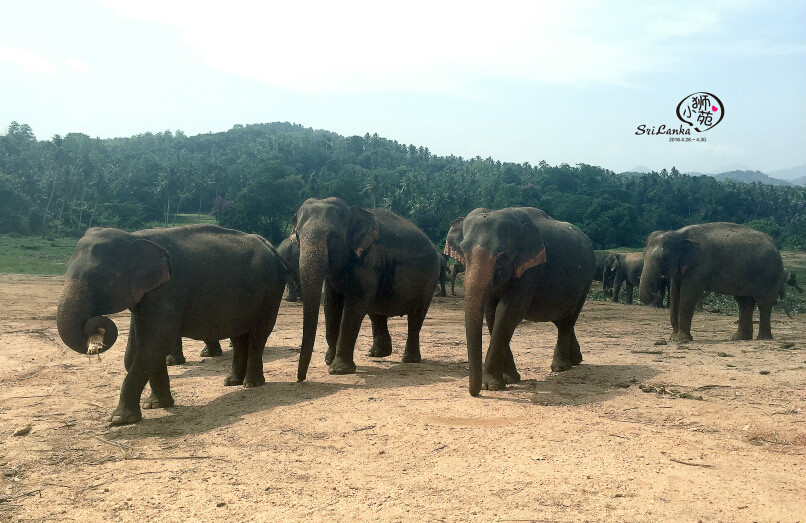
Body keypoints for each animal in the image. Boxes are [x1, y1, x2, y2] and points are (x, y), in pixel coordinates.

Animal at [57, 225, 296, 426]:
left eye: (98, 276)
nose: (96, 329)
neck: (134, 237)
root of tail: (271, 247)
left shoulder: (168, 290)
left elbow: (156, 342)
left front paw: (119, 420)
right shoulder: (147, 295)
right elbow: (141, 347)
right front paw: (156, 404)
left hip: (270, 291)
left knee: (258, 334)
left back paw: (251, 384)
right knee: (238, 335)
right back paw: (232, 382)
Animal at [294, 196, 442, 380]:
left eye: (333, 236)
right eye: (297, 236)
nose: (301, 379)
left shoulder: (369, 262)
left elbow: (354, 306)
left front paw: (338, 370)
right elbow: (331, 305)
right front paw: (329, 361)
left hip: (430, 280)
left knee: (416, 315)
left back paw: (409, 360)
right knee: (376, 313)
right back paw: (377, 354)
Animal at [446, 207, 596, 396]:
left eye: (503, 256)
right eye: (463, 251)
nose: (474, 392)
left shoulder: (530, 270)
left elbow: (508, 311)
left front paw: (491, 385)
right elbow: (492, 313)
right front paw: (510, 379)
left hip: (586, 281)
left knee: (568, 320)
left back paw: (561, 368)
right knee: (562, 319)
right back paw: (576, 360)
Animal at [640, 222, 784, 342]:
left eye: (664, 258)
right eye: (643, 254)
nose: (655, 293)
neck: (680, 233)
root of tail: (775, 245)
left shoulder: (700, 267)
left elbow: (688, 295)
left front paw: (681, 339)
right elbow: (675, 293)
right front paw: (673, 338)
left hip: (770, 275)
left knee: (764, 302)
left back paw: (763, 338)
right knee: (744, 302)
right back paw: (740, 338)